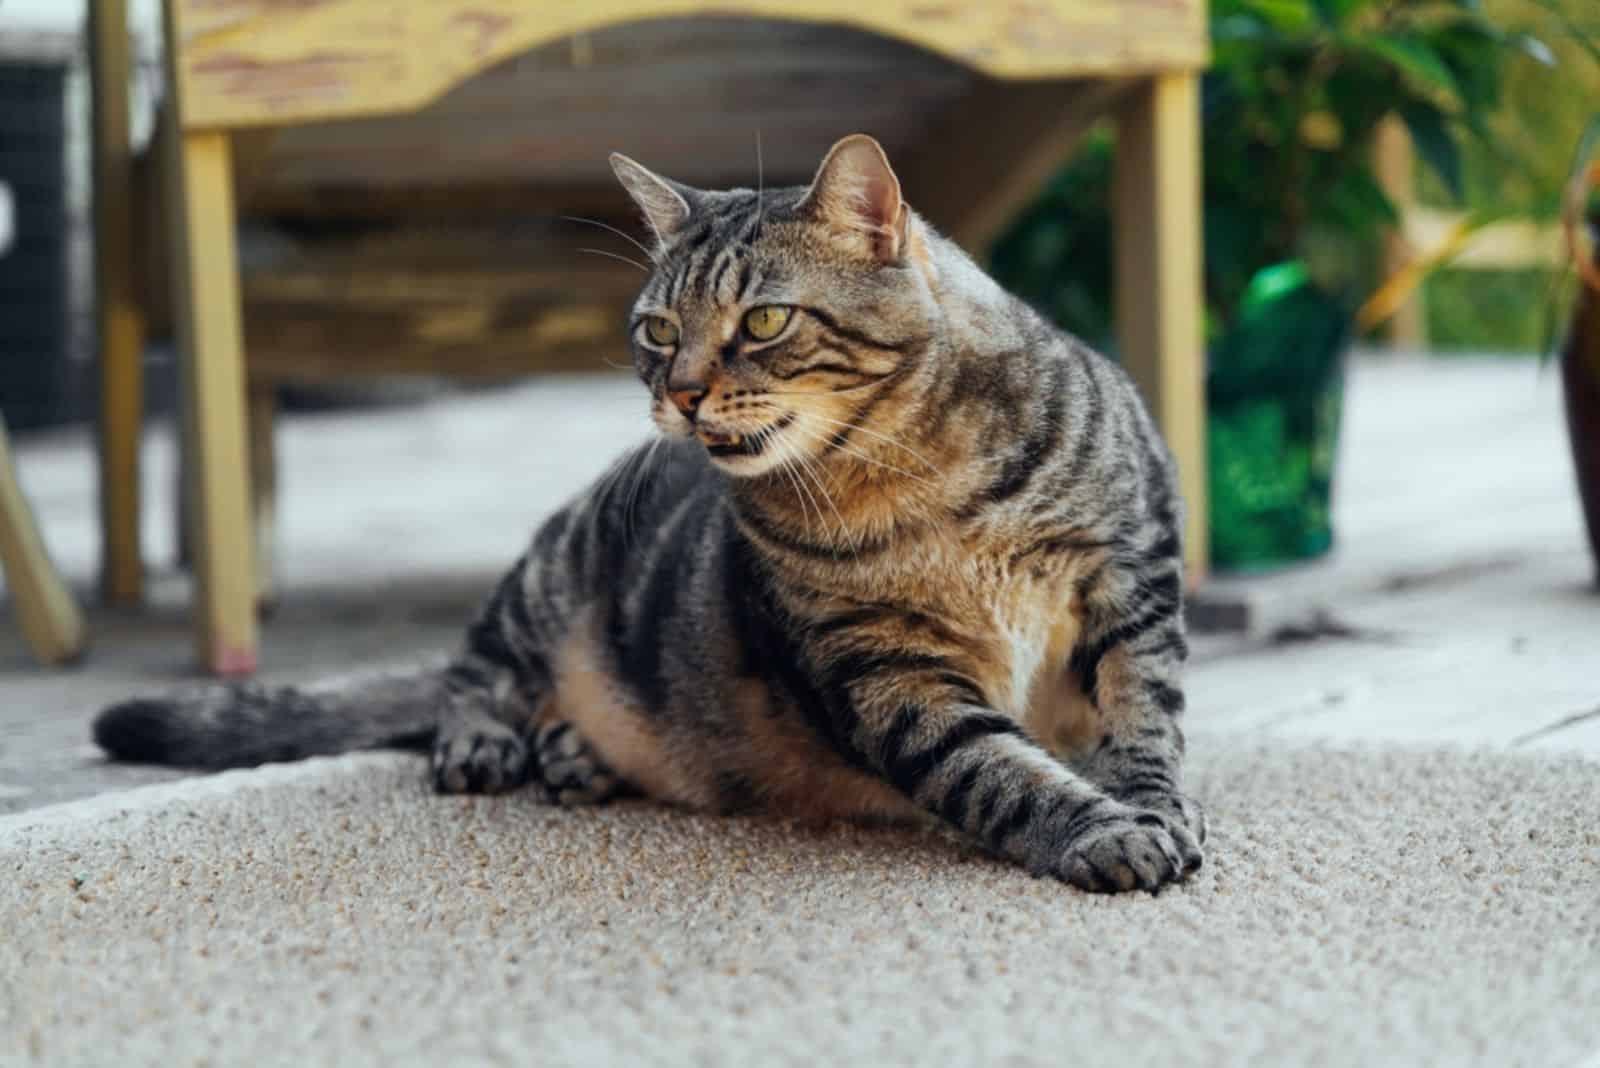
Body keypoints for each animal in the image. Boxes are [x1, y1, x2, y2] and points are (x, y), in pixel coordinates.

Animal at [90, 137, 1203, 895]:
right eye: (659, 330)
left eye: (765, 321)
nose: (683, 393)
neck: (919, 477)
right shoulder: (888, 678)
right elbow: (1000, 772)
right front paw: (1102, 832)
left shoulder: (1133, 590)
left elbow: (1142, 725)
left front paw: (1150, 807)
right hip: (549, 574)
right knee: (469, 675)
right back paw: (491, 743)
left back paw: (576, 752)